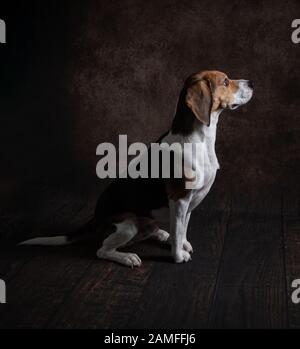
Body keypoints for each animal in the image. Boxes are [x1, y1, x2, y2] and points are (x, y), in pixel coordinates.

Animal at [19, 70, 252, 266]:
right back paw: (127, 257)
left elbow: (182, 228)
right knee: (102, 250)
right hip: (128, 224)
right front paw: (178, 255)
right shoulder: (180, 199)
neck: (199, 139)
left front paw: (181, 243)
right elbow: (179, 230)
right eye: (225, 81)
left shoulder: (189, 202)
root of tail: (95, 218)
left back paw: (162, 234)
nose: (251, 82)